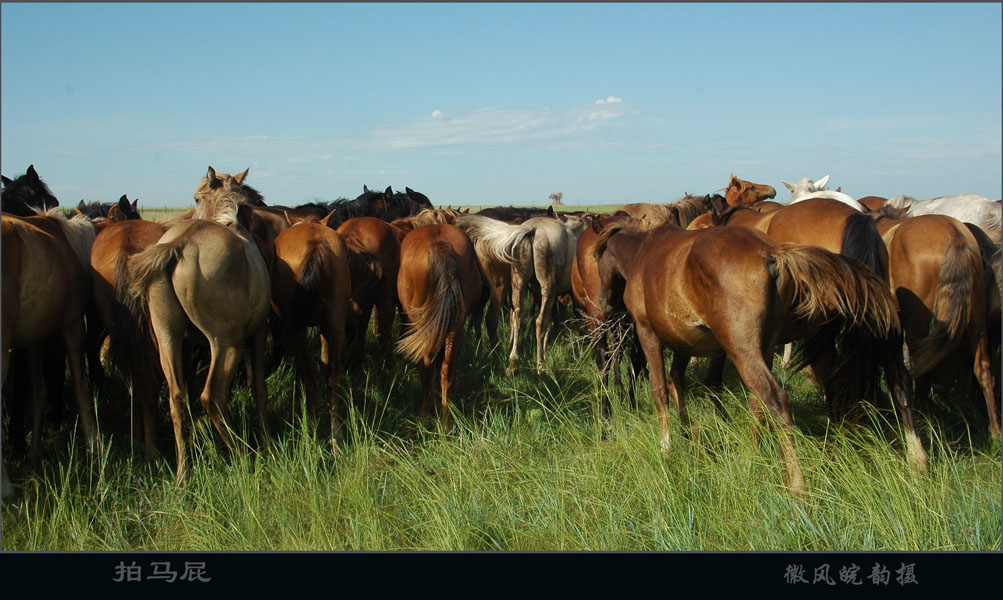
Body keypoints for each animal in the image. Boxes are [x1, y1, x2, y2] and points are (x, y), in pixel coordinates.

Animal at [127, 168, 272, 483]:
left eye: (196, 197)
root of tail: (180, 244)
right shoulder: (257, 334)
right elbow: (259, 386)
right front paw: (266, 439)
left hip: (167, 336)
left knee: (176, 397)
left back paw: (183, 471)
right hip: (226, 343)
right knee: (213, 395)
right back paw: (241, 454)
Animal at [270, 214, 353, 437]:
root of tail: (316, 243)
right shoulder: (326, 327)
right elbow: (326, 359)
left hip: (297, 329)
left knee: (309, 372)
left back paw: (312, 427)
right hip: (336, 322)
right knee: (336, 371)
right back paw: (335, 431)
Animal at [395, 223, 481, 425]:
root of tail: (439, 245)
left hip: (421, 323)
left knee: (426, 365)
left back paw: (425, 412)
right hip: (455, 326)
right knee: (446, 368)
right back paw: (446, 420)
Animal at [457, 211, 585, 371]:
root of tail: (532, 230)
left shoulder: (537, 292)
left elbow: (549, 322)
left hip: (515, 284)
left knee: (514, 317)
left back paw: (511, 362)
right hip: (535, 288)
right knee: (534, 321)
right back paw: (539, 364)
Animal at [866, 206, 998, 437]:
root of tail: (955, 237)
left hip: (918, 319)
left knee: (921, 367)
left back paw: (919, 414)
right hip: (977, 317)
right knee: (982, 368)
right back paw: (995, 432)